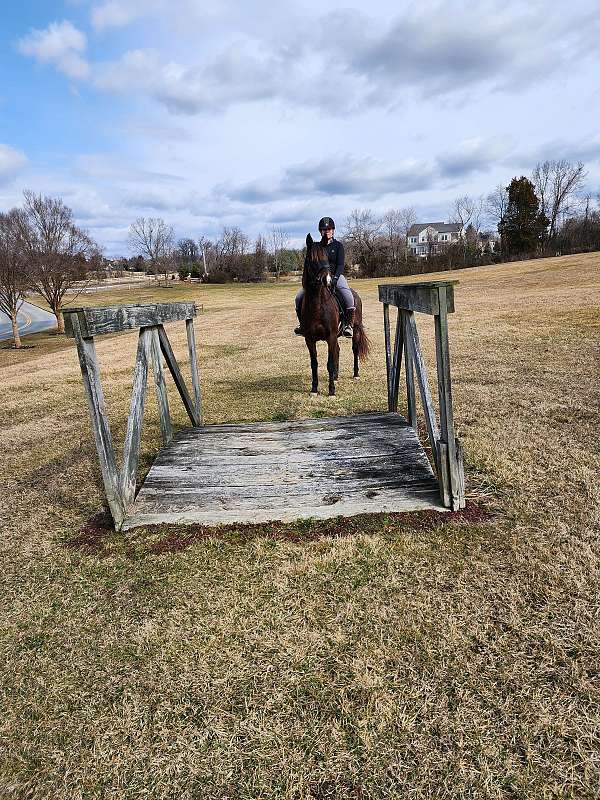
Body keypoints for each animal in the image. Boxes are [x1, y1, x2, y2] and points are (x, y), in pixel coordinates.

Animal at [300, 233, 370, 396]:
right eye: (312, 259)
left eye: (326, 257)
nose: (327, 280)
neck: (318, 304)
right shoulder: (309, 339)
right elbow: (314, 363)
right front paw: (314, 389)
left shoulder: (330, 336)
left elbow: (330, 363)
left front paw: (331, 390)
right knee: (337, 350)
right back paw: (336, 377)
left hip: (355, 329)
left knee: (355, 349)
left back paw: (355, 374)